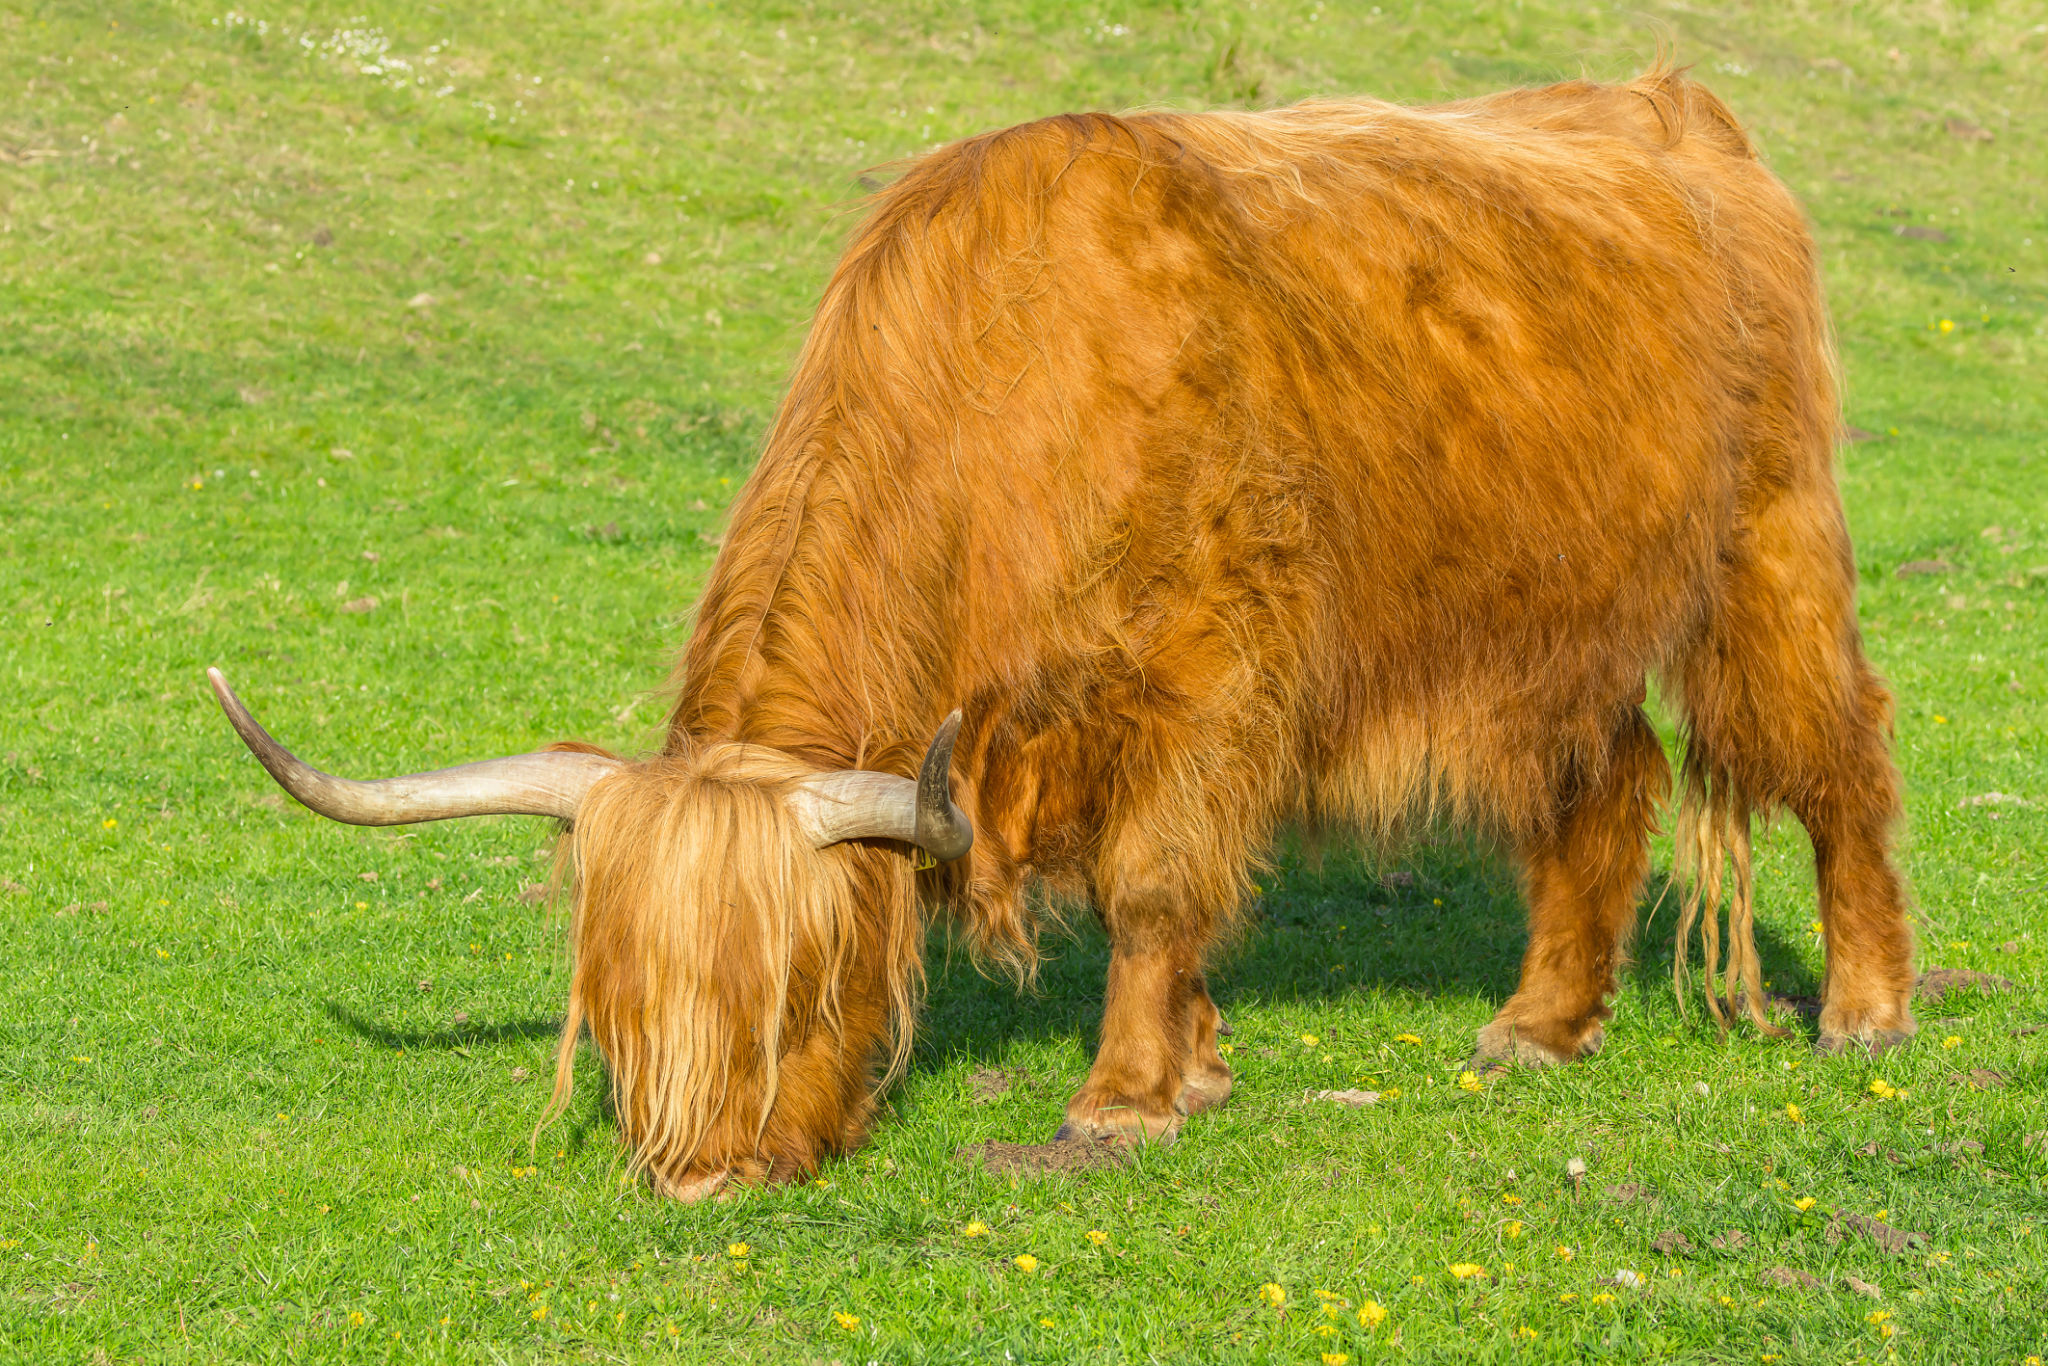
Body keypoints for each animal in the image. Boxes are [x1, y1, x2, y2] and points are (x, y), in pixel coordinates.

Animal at [210, 67, 1917, 1201]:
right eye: (616, 1004)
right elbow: (1146, 897)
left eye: (807, 986)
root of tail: (1667, 102)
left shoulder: (1212, 671)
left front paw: (1123, 1098)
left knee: (1838, 749)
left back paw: (1866, 1006)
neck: (1007, 384)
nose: (704, 1176)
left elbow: (1156, 885)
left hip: (1766, 547)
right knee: (1603, 782)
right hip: (1548, 626)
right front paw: (1203, 1059)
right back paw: (1540, 1024)